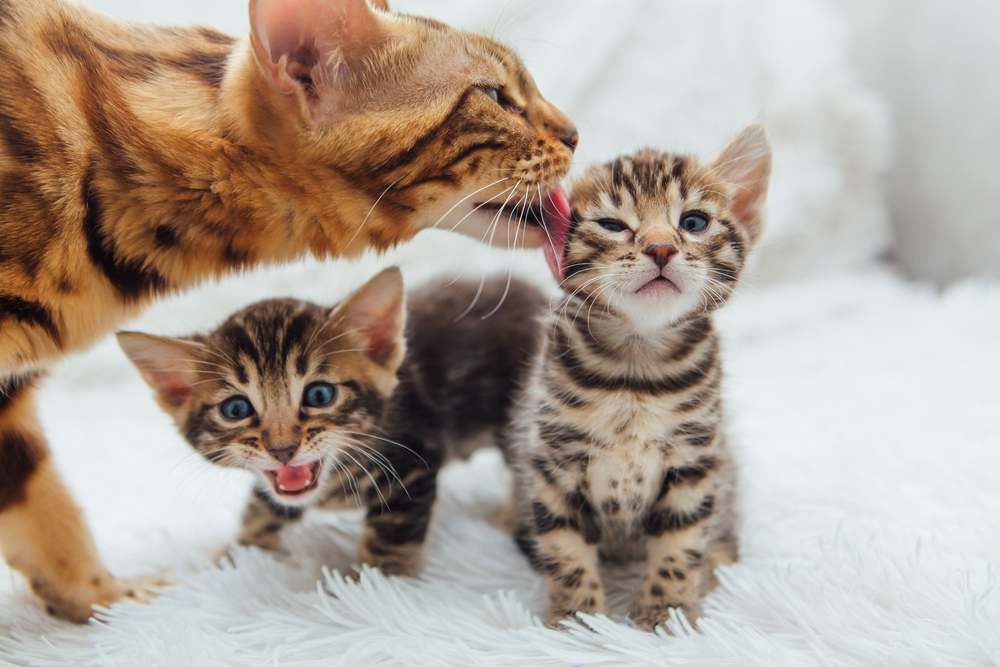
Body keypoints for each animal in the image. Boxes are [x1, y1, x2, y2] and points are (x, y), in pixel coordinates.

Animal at [121, 268, 552, 576]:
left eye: (319, 396)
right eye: (236, 409)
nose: (282, 449)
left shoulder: (414, 463)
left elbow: (390, 537)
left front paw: (372, 587)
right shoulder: (274, 487)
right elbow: (261, 509)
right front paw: (236, 555)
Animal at [512, 126, 768, 632]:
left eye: (693, 222)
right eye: (613, 225)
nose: (660, 248)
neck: (637, 370)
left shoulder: (695, 459)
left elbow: (681, 543)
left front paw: (667, 611)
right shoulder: (554, 460)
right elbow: (565, 547)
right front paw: (579, 619)